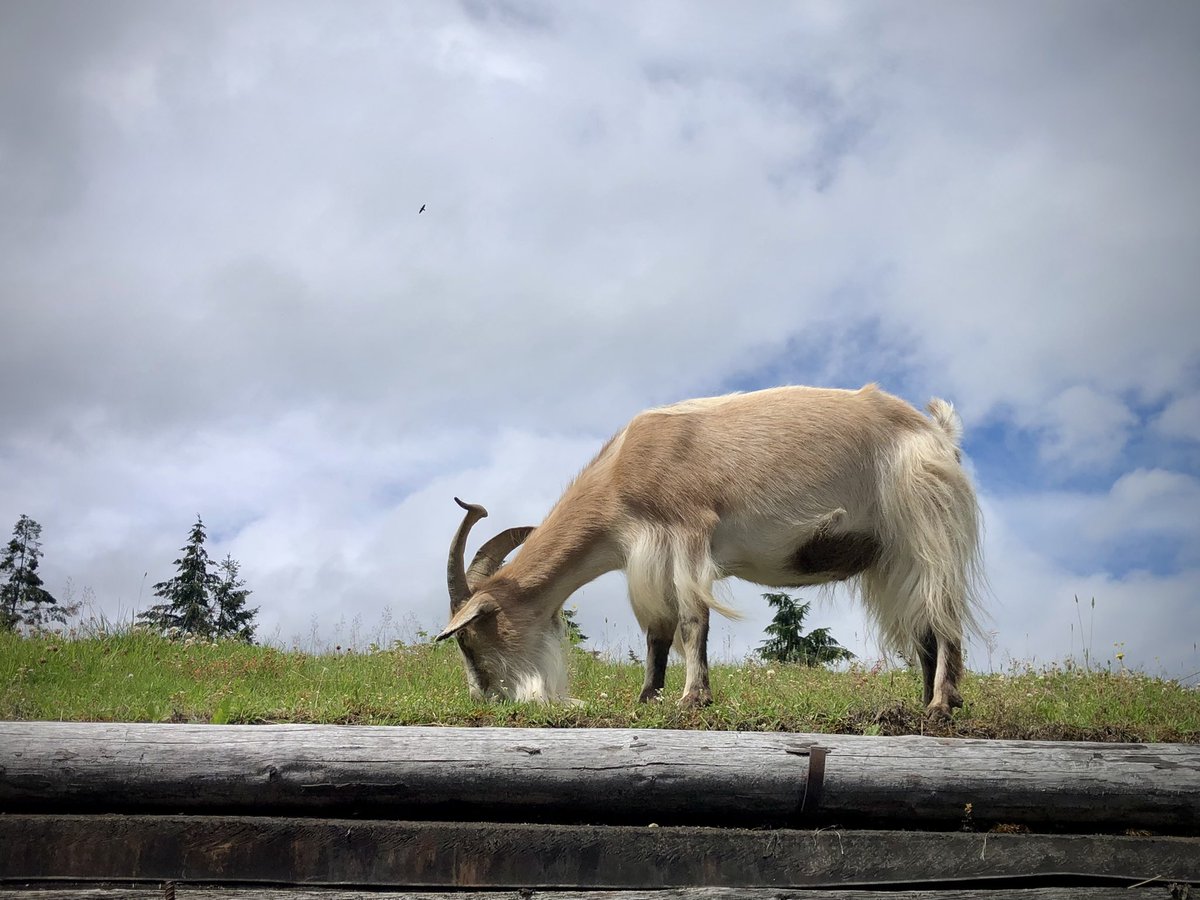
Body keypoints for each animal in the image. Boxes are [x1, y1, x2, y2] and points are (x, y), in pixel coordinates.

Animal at [438, 384, 984, 718]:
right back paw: (922, 706)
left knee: (944, 618)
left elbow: (692, 621)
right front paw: (647, 698)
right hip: (894, 557)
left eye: (469, 638)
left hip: (927, 531)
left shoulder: (687, 532)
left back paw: (941, 706)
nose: (487, 699)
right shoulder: (648, 558)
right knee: (923, 627)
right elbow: (657, 634)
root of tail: (938, 432)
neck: (621, 469)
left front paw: (691, 699)